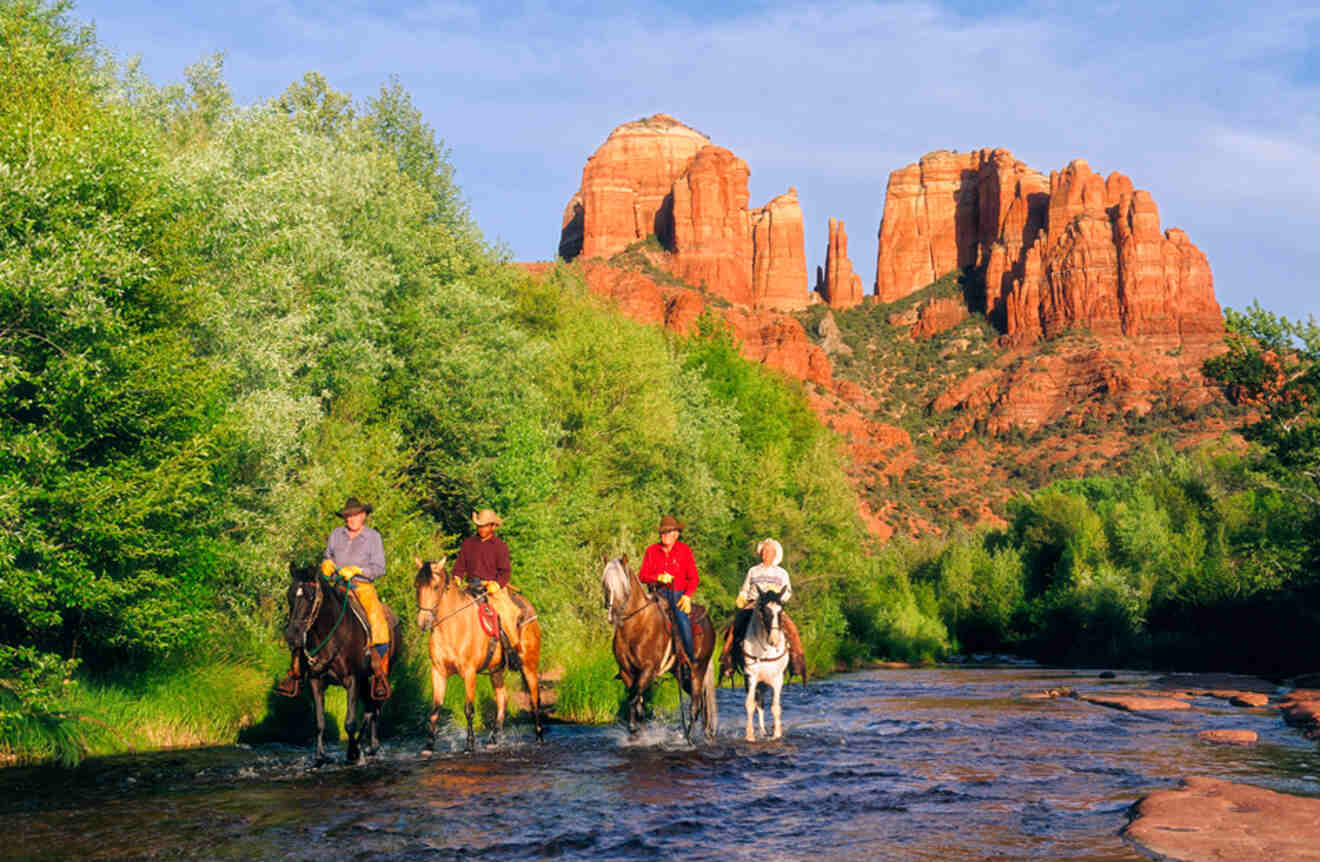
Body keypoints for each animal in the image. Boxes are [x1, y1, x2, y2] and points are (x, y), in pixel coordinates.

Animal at [281, 562, 398, 765]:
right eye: (290, 594)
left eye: (310, 597)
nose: (292, 637)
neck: (331, 637)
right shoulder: (316, 680)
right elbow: (319, 722)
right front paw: (320, 758)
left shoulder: (352, 679)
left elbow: (350, 723)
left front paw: (352, 754)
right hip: (365, 681)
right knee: (370, 709)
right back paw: (369, 747)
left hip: (378, 677)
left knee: (374, 708)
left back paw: (368, 747)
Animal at [409, 557, 538, 755]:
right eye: (417, 585)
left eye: (435, 587)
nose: (423, 622)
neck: (452, 627)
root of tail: (529, 608)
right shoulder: (438, 672)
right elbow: (435, 709)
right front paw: (429, 746)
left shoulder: (469, 672)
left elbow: (469, 709)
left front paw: (469, 745)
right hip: (496, 670)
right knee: (502, 699)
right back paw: (493, 739)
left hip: (529, 665)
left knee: (534, 697)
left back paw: (539, 736)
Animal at [601, 557, 718, 739]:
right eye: (605, 584)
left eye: (623, 584)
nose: (613, 615)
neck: (636, 627)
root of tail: (708, 621)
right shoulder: (627, 672)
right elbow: (635, 699)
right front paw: (636, 728)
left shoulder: (648, 669)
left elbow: (634, 698)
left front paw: (634, 727)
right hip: (682, 675)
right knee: (702, 702)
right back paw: (706, 732)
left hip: (697, 670)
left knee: (696, 705)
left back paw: (688, 737)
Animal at [739, 591, 786, 739]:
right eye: (765, 611)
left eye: (781, 611)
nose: (774, 641)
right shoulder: (750, 676)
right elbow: (750, 704)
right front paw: (750, 736)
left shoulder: (778, 679)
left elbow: (776, 707)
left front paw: (777, 734)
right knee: (758, 702)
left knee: (761, 702)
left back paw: (765, 731)